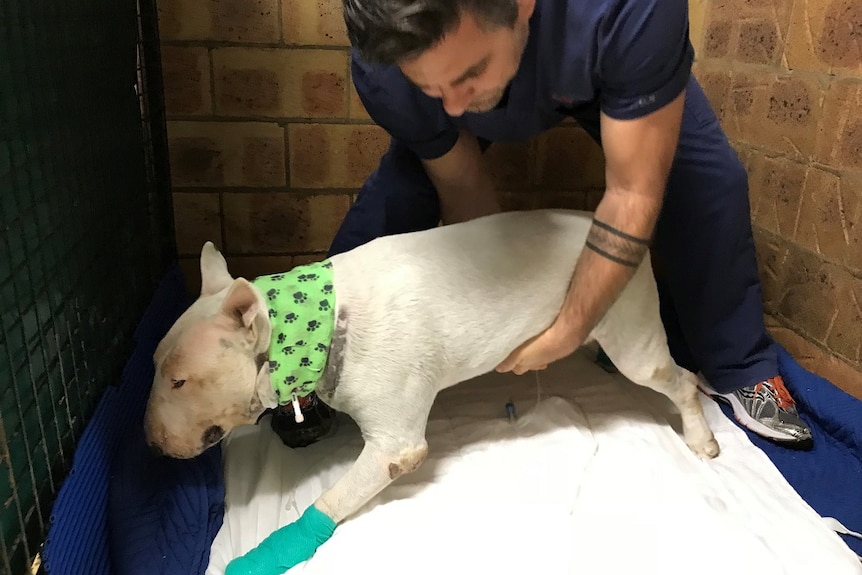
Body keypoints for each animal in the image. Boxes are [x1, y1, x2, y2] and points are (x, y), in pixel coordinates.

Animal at [143, 209, 724, 572]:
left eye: (179, 380)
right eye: (156, 368)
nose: (149, 444)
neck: (320, 326)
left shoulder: (395, 446)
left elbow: (335, 498)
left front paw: (270, 555)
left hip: (633, 331)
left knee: (681, 379)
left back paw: (701, 438)